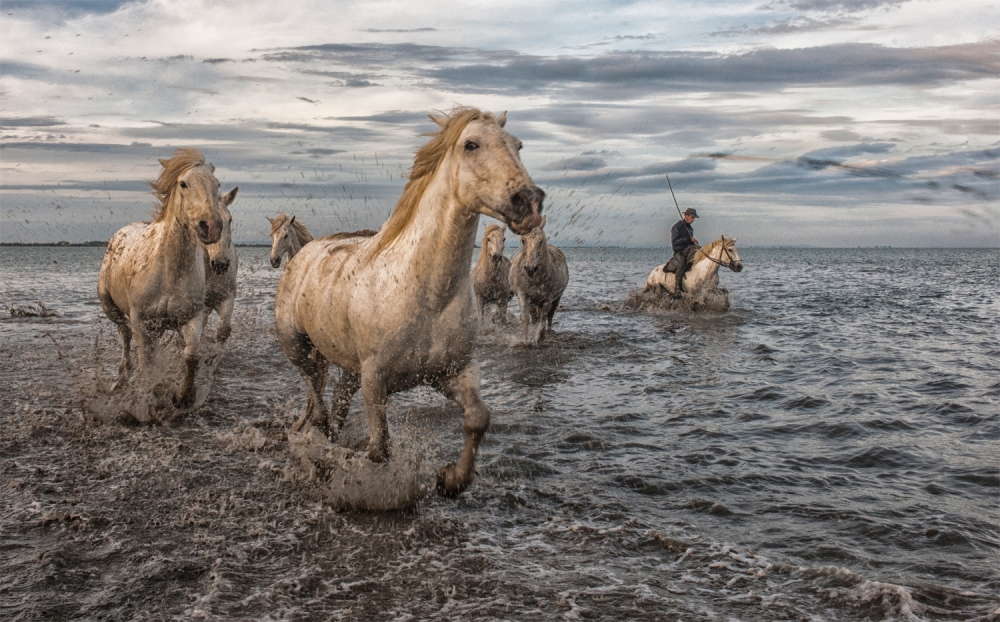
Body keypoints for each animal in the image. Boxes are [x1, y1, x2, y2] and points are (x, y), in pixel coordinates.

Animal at [98, 149, 238, 412]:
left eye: (216, 184)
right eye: (183, 184)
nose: (211, 227)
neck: (168, 272)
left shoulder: (193, 315)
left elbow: (192, 354)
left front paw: (184, 396)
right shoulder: (141, 322)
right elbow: (146, 365)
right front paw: (149, 399)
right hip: (110, 307)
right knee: (125, 335)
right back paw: (122, 377)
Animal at [272, 108, 548, 498]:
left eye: (518, 145)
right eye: (471, 144)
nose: (530, 202)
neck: (424, 293)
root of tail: (303, 254)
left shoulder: (449, 372)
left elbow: (478, 418)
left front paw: (450, 479)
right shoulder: (375, 380)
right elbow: (380, 450)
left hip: (350, 367)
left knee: (337, 398)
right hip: (296, 345)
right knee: (315, 387)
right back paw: (320, 435)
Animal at [508, 218, 572, 346]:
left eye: (540, 241)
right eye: (523, 240)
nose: (530, 268)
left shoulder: (547, 299)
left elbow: (544, 316)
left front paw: (540, 338)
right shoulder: (523, 295)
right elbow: (525, 316)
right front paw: (526, 339)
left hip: (557, 298)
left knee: (550, 315)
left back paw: (548, 331)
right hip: (533, 301)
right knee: (534, 316)